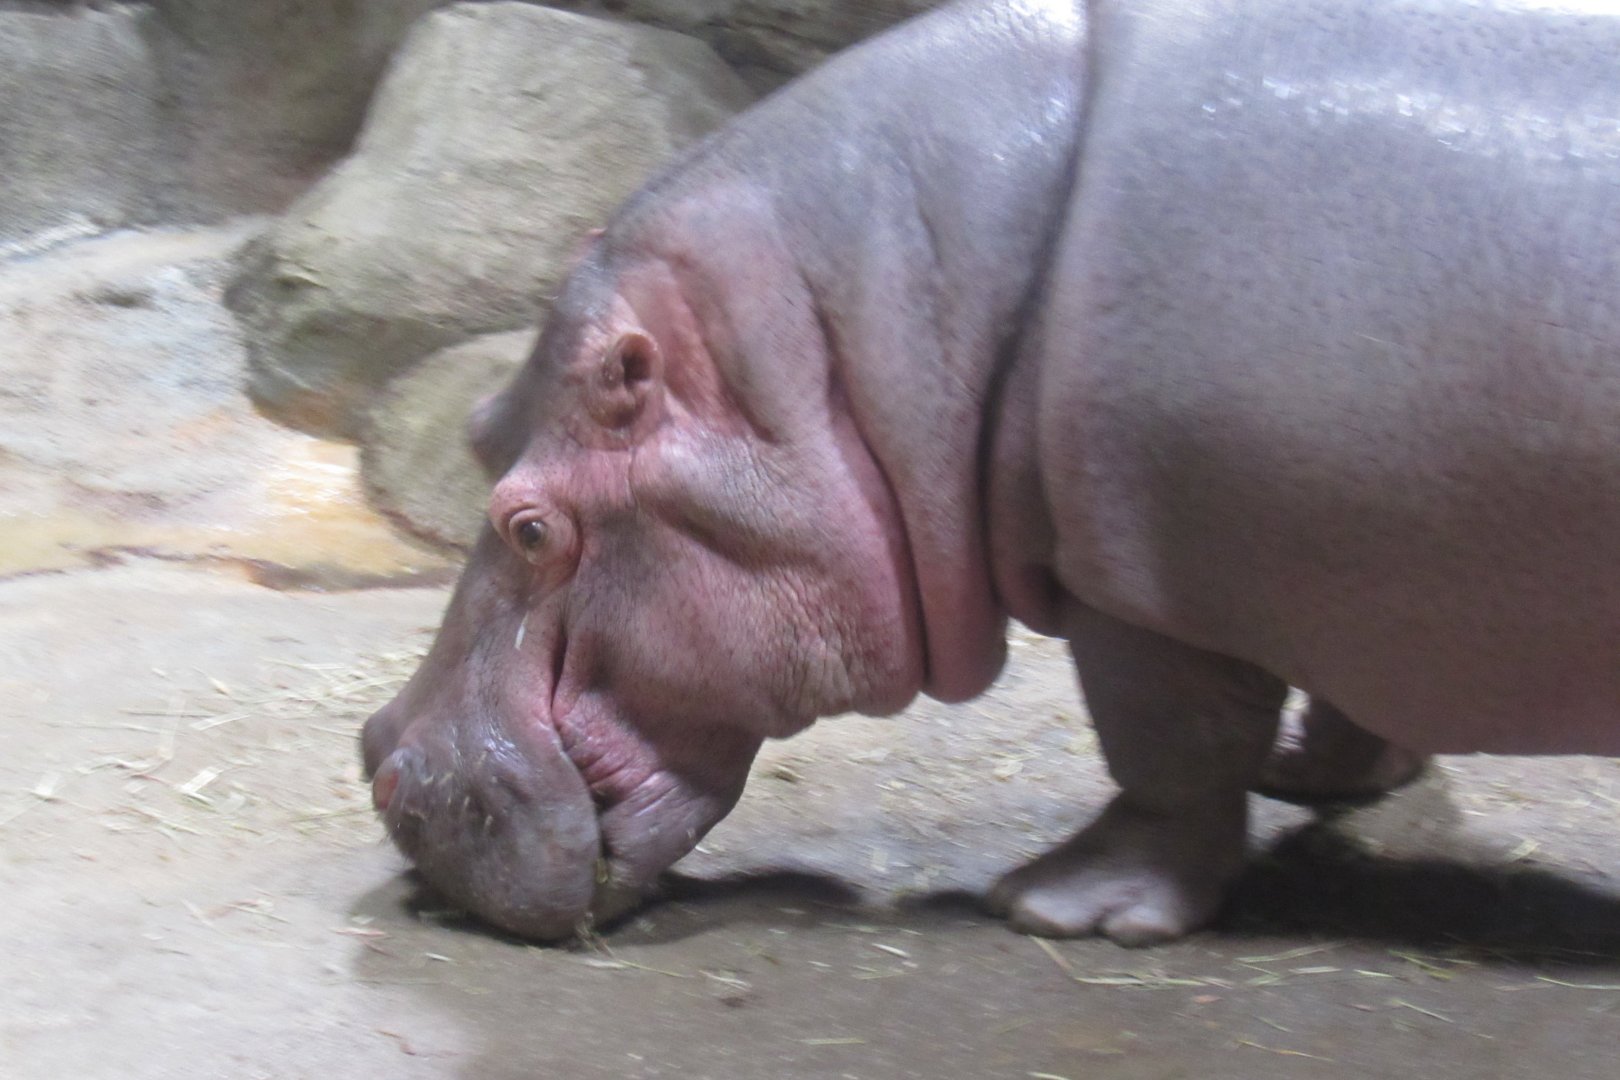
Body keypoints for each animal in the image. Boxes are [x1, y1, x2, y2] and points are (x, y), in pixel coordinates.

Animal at [361, 0, 1620, 945]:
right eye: (477, 425)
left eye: (529, 527)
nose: (382, 765)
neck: (838, 352)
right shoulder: (1334, 571)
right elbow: (1338, 685)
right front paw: (1321, 775)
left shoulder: (1136, 579)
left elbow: (1171, 747)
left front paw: (1063, 906)